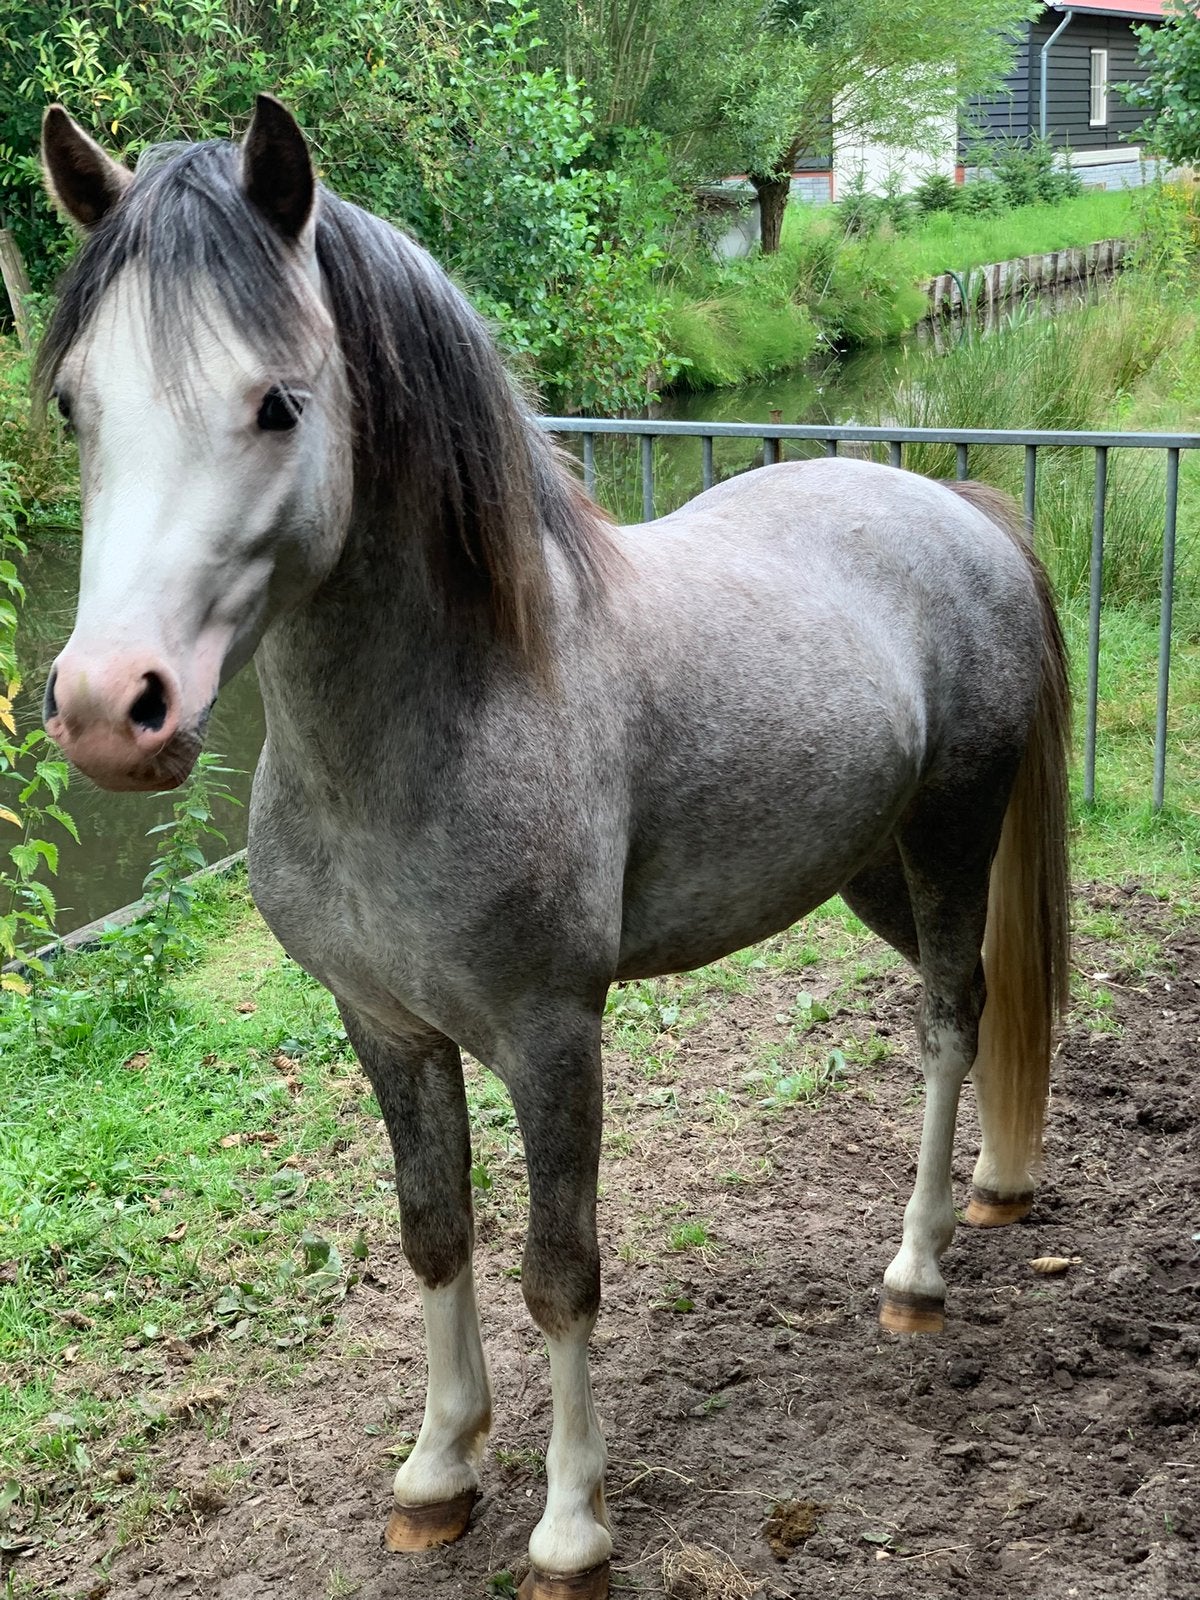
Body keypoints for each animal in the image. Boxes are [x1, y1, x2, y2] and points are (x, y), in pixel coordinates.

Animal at [37, 97, 1070, 1600]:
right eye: (75, 404)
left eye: (278, 402)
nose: (113, 708)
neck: (444, 723)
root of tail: (958, 507)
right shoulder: (387, 1030)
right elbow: (434, 1236)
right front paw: (437, 1469)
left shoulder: (551, 1034)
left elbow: (559, 1266)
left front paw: (570, 1522)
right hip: (868, 862)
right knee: (978, 1009)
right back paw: (995, 1189)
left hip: (949, 832)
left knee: (948, 1017)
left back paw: (918, 1271)